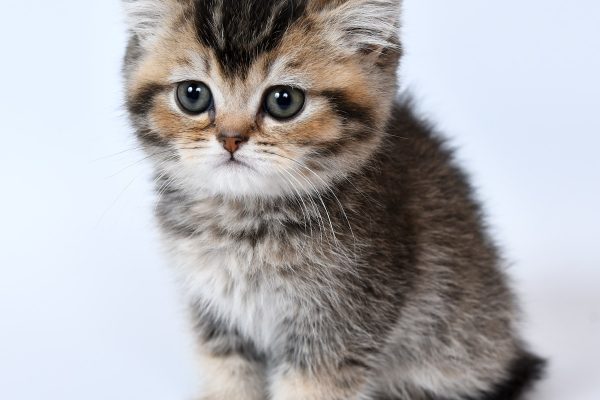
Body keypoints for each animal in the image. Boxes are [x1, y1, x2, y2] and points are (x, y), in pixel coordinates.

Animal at [120, 1, 544, 398]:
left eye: (284, 101)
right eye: (192, 95)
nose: (230, 138)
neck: (241, 222)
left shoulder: (338, 329)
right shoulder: (217, 319)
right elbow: (229, 378)